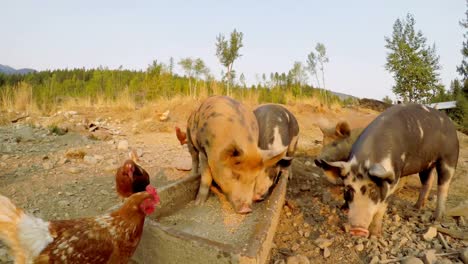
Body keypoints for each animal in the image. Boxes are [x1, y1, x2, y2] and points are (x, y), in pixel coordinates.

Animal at [316, 103, 458, 237]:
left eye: (373, 191)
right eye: (348, 191)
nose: (357, 230)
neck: (366, 159)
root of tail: (449, 122)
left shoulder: (394, 177)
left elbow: (381, 207)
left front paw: (374, 234)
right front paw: (343, 208)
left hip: (449, 157)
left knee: (444, 185)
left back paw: (436, 218)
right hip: (426, 163)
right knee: (428, 181)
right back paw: (416, 208)